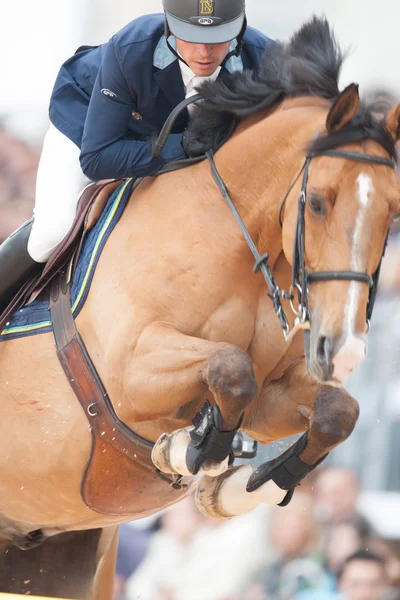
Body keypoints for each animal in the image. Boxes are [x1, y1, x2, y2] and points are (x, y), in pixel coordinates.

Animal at [0, 16, 400, 596]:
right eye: (318, 202)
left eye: (393, 211)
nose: (342, 350)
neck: (233, 242)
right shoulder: (129, 374)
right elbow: (230, 368)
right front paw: (192, 449)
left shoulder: (271, 398)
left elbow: (335, 411)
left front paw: (244, 484)